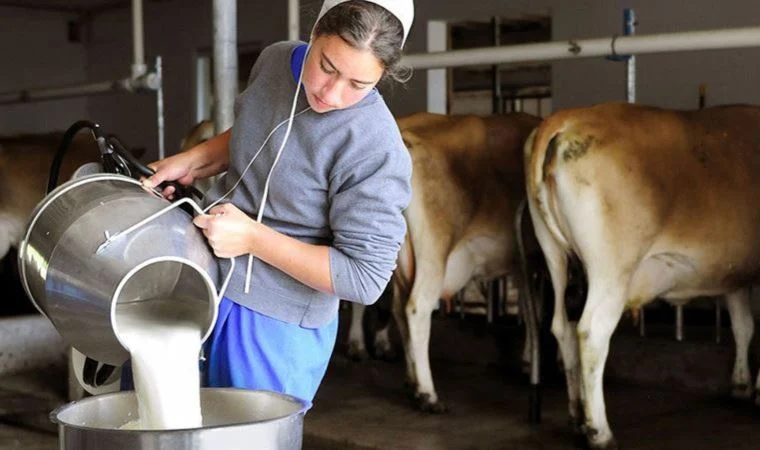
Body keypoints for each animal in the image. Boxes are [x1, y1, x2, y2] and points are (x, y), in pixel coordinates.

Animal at [524, 103, 760, 450]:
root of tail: (563, 119)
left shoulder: (734, 275)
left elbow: (742, 326)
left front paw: (742, 385)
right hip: (611, 270)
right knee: (592, 332)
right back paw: (600, 431)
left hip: (555, 256)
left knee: (562, 327)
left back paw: (577, 416)